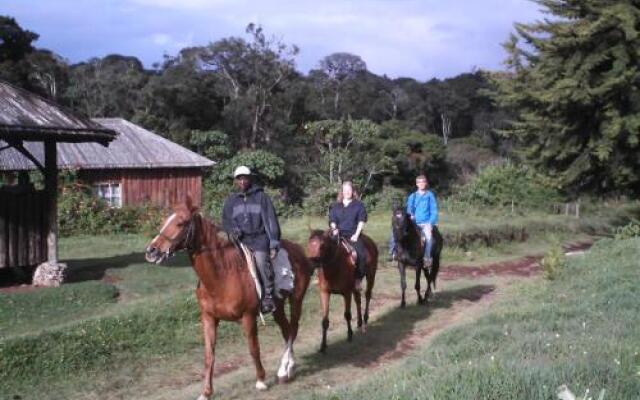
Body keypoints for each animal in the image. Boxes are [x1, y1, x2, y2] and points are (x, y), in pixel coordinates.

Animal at [146, 203, 316, 400]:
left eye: (181, 223)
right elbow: (209, 355)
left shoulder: (248, 317)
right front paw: (206, 392)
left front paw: (261, 380)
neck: (222, 275)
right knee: (287, 330)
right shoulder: (209, 318)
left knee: (293, 329)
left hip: (296, 299)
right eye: (165, 221)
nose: (151, 251)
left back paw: (283, 370)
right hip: (278, 306)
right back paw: (289, 368)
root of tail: (298, 250)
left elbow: (253, 348)